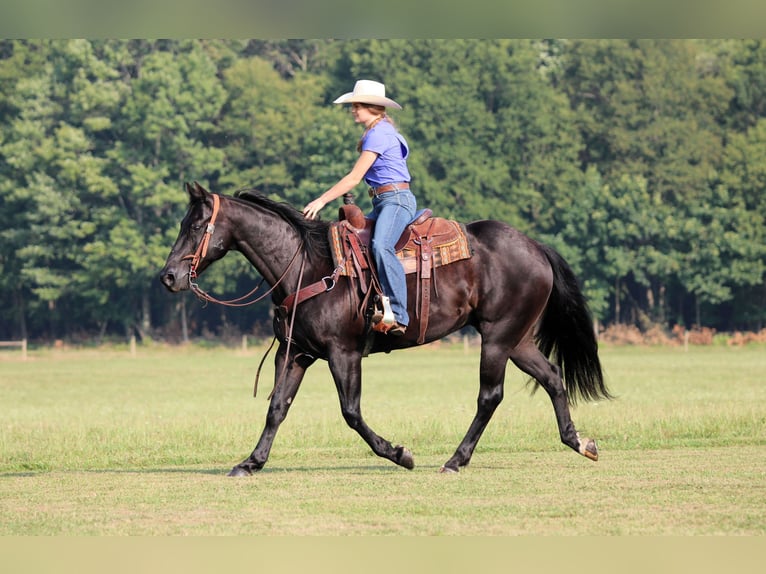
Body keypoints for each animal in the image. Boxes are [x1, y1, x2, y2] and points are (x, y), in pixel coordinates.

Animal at [160, 182, 612, 476]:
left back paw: (455, 460)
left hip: (498, 338)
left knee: (490, 396)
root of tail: (536, 247)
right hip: (517, 339)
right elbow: (277, 409)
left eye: (195, 226)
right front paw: (250, 462)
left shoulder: (343, 354)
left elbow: (351, 412)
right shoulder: (296, 353)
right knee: (552, 377)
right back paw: (579, 442)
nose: (168, 276)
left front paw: (399, 453)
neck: (308, 265)